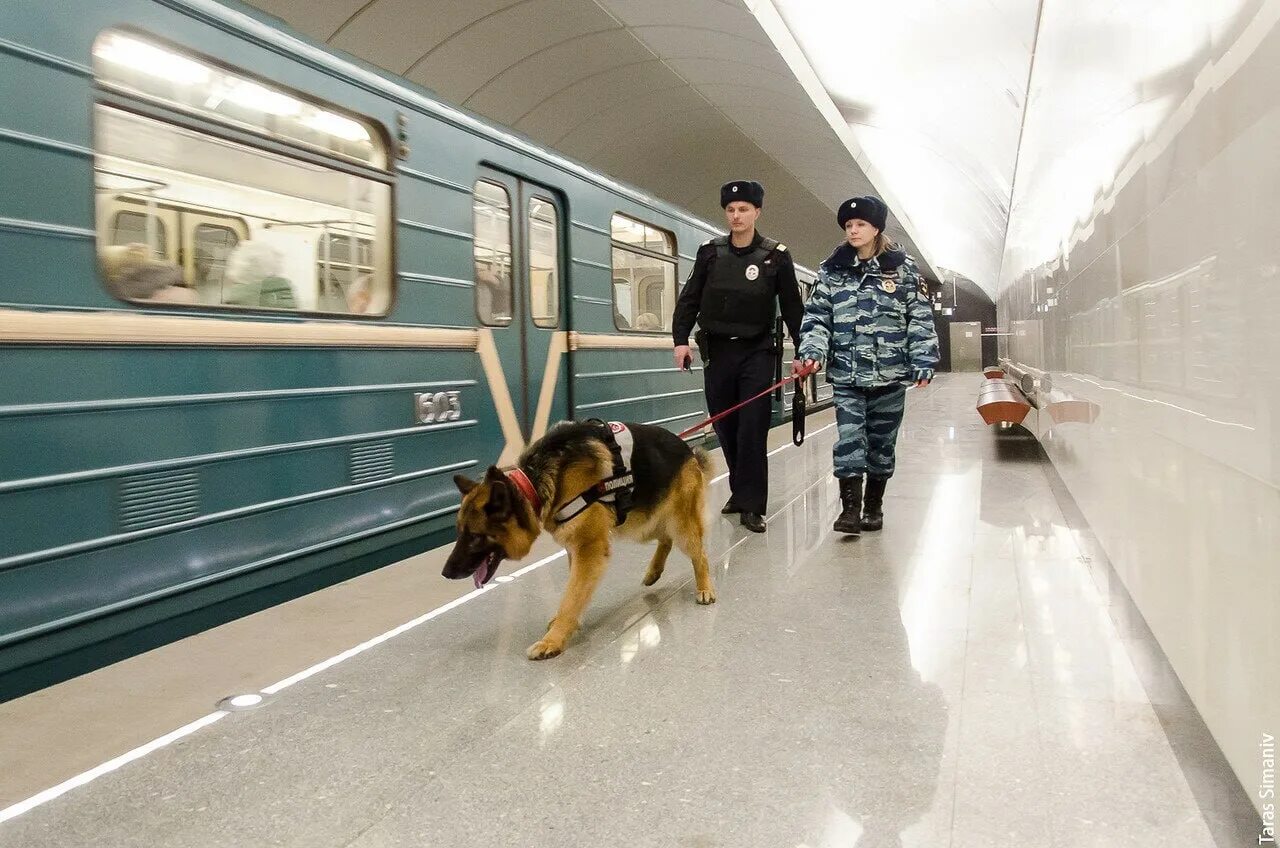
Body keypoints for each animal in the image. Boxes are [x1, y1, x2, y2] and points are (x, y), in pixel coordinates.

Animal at [445, 422, 716, 660]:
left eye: (475, 536)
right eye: (460, 532)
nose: (445, 573)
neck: (537, 481)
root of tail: (687, 448)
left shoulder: (588, 551)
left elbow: (571, 596)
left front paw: (553, 640)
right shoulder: (574, 549)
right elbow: (574, 592)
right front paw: (564, 625)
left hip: (680, 525)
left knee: (699, 553)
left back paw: (705, 588)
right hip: (643, 523)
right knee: (665, 539)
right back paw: (654, 571)